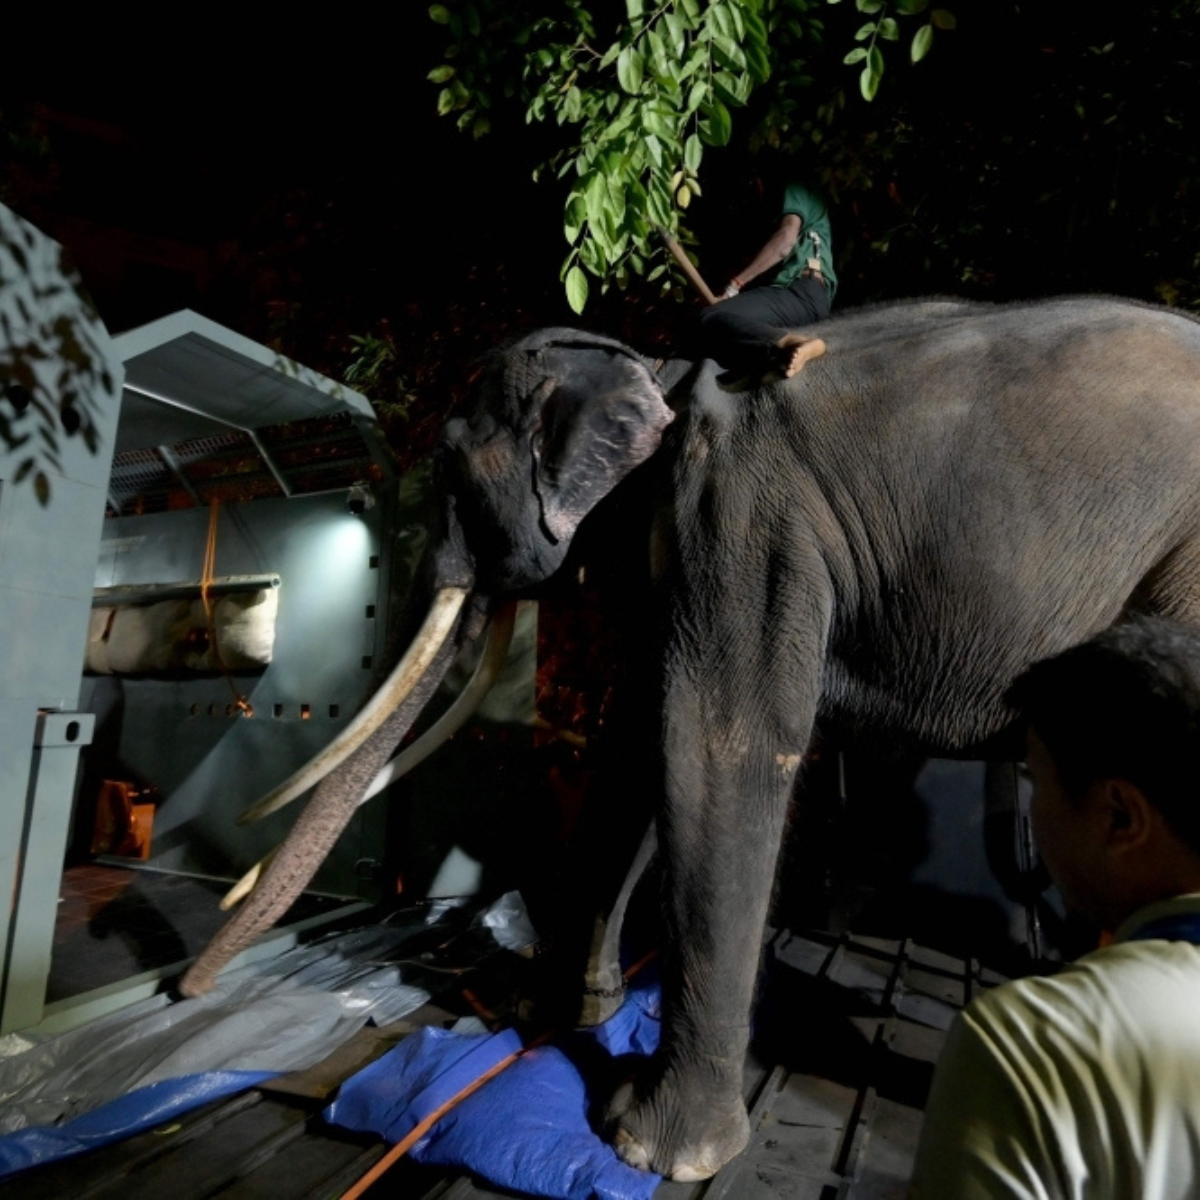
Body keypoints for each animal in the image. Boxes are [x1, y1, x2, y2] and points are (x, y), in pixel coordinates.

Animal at [180, 294, 1200, 1182]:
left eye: (449, 469)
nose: (189, 991)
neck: (652, 373)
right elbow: (632, 747)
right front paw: (557, 1013)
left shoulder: (744, 519)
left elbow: (714, 744)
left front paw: (653, 1149)